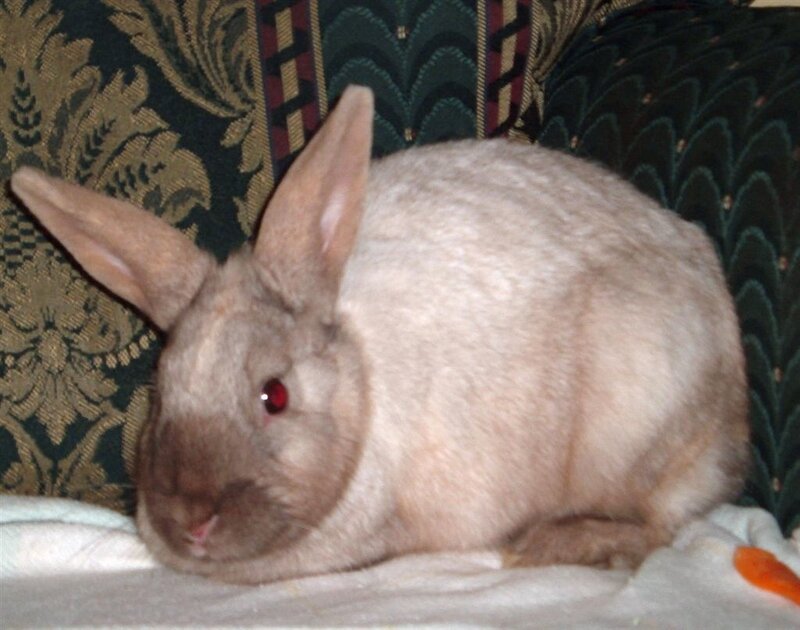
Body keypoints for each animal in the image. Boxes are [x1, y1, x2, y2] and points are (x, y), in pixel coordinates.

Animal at [10, 85, 750, 584]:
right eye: (161, 393)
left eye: (274, 396)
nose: (191, 521)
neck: (359, 384)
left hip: (644, 414)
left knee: (662, 523)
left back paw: (554, 544)